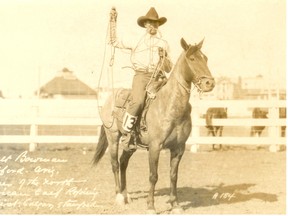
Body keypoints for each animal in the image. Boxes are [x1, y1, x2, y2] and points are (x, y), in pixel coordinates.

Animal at [93, 38, 215, 213]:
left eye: (205, 58)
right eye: (192, 59)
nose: (209, 83)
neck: (170, 105)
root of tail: (108, 99)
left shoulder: (179, 148)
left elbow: (173, 176)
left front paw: (175, 205)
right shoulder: (155, 146)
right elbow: (153, 175)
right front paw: (151, 206)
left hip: (130, 145)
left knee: (123, 163)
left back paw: (126, 195)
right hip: (113, 137)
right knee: (115, 164)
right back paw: (119, 197)